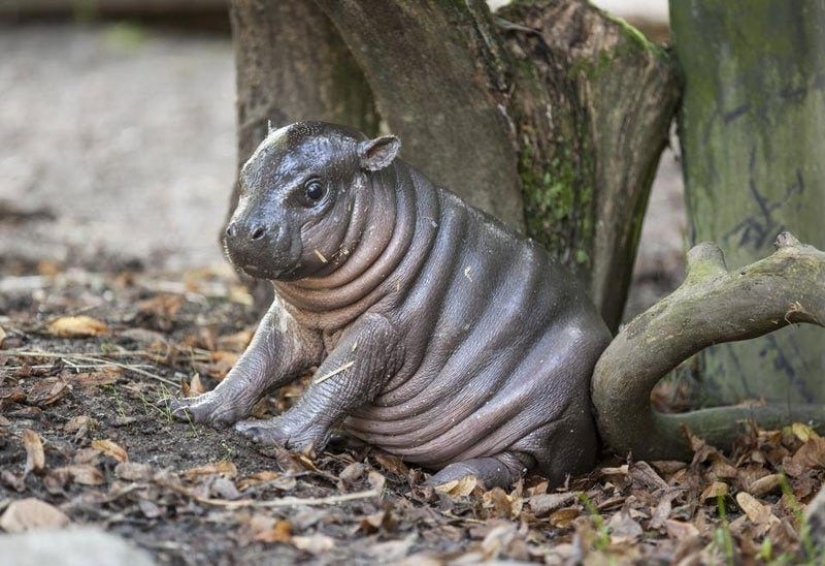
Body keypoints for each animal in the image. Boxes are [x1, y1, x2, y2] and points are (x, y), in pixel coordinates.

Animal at [171, 121, 611, 488]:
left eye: (314, 189)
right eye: (245, 172)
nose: (244, 230)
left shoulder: (383, 330)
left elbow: (336, 380)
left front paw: (266, 433)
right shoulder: (290, 320)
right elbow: (254, 363)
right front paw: (191, 407)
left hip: (552, 417)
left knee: (517, 463)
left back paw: (445, 483)